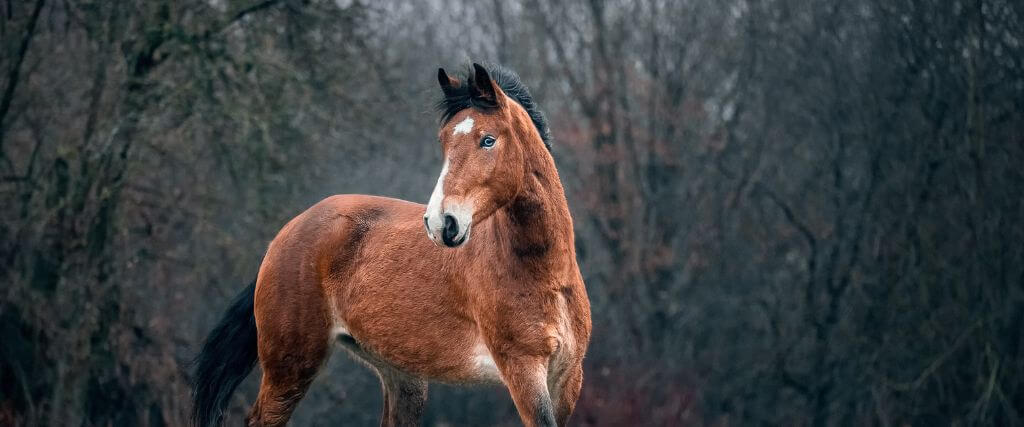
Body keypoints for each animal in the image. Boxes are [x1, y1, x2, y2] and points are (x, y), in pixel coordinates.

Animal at [191, 63, 591, 427]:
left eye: (488, 139)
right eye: (444, 141)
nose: (441, 223)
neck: (544, 272)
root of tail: (284, 236)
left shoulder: (566, 378)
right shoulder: (522, 370)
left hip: (401, 375)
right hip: (290, 368)